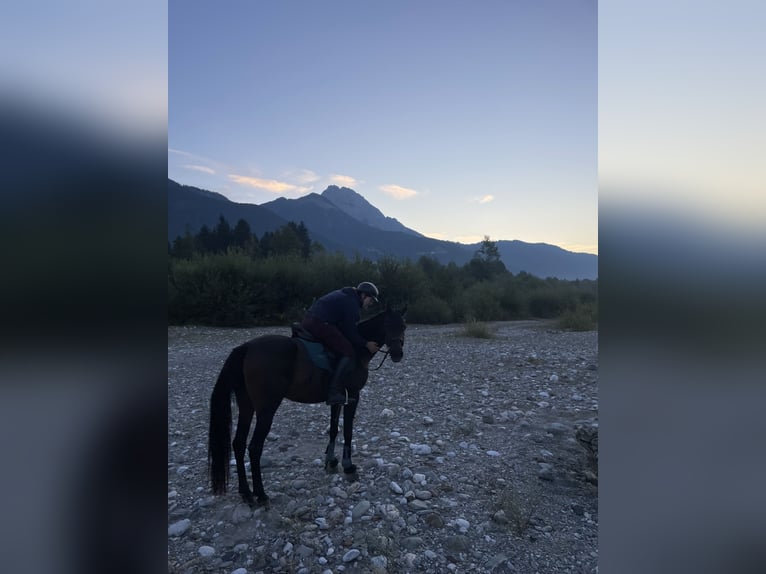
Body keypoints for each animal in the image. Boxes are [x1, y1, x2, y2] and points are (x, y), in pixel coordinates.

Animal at [208, 304, 407, 507]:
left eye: (403, 327)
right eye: (387, 325)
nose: (398, 354)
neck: (358, 348)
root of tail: (247, 347)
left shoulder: (337, 398)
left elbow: (333, 428)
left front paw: (331, 461)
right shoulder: (353, 395)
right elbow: (348, 431)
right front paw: (348, 466)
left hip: (247, 406)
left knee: (238, 444)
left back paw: (246, 493)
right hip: (266, 409)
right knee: (254, 448)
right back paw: (261, 495)